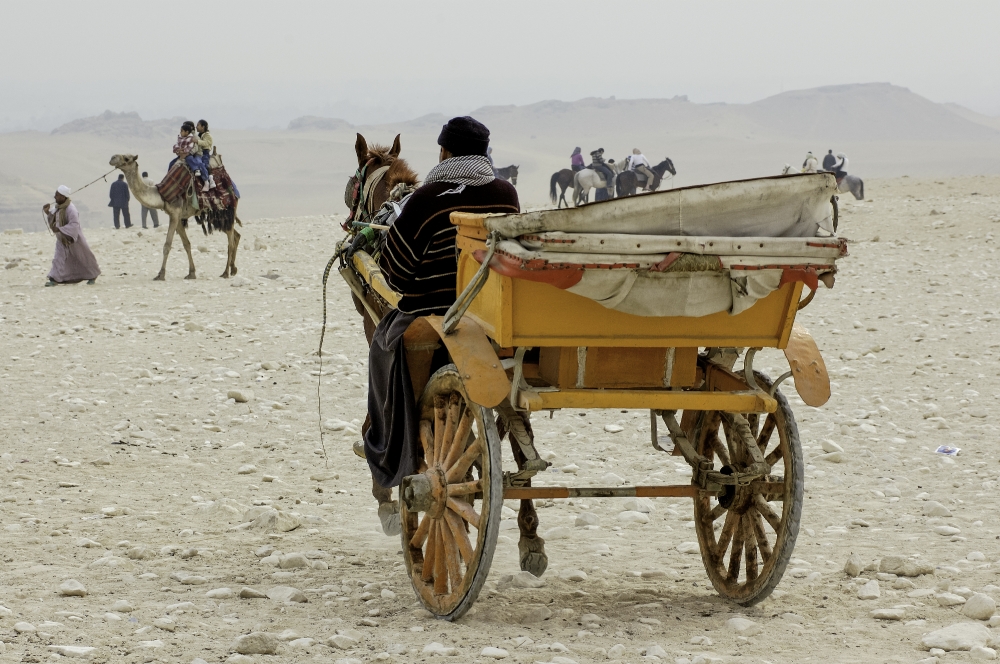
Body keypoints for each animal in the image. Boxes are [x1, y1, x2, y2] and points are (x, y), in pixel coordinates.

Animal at [109, 154, 240, 278]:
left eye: (127, 158)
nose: (112, 158)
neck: (161, 195)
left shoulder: (175, 214)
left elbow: (167, 245)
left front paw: (161, 274)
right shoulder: (177, 216)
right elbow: (186, 244)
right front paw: (191, 273)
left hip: (226, 211)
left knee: (230, 242)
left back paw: (225, 272)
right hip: (218, 216)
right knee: (236, 235)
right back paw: (233, 269)